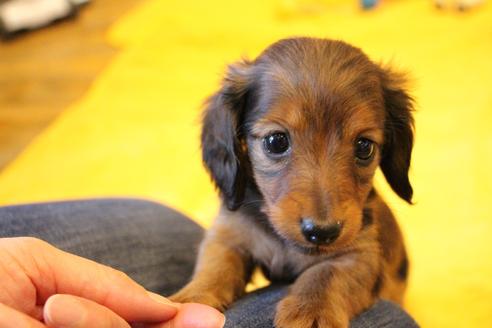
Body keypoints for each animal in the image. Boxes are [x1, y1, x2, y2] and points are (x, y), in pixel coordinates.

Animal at [171, 37, 414, 328]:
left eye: (364, 146)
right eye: (276, 141)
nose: (322, 232)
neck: (285, 243)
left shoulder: (360, 253)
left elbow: (324, 275)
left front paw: (311, 312)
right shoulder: (229, 234)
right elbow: (215, 267)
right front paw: (189, 301)